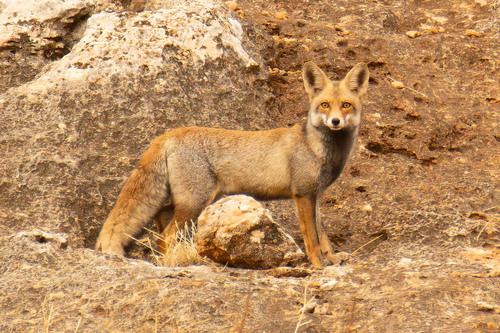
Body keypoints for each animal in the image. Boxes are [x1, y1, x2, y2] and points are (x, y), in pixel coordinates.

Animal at [95, 61, 370, 268]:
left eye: (346, 105)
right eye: (325, 105)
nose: (335, 121)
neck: (317, 148)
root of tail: (169, 133)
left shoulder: (317, 195)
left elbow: (323, 234)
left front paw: (331, 258)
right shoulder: (302, 194)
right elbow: (311, 237)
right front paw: (318, 265)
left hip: (189, 200)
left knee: (162, 216)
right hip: (196, 201)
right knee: (166, 235)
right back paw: (174, 262)